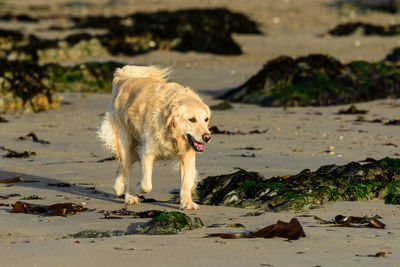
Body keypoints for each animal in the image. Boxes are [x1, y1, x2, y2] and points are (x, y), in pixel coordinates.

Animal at [98, 66, 211, 210]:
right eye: (192, 119)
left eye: (206, 119)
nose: (207, 137)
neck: (172, 133)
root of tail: (126, 77)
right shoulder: (147, 152)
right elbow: (147, 184)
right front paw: (139, 187)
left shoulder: (187, 154)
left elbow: (186, 181)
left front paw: (187, 202)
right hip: (126, 140)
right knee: (127, 168)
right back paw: (130, 196)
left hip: (136, 147)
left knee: (123, 166)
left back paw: (118, 186)